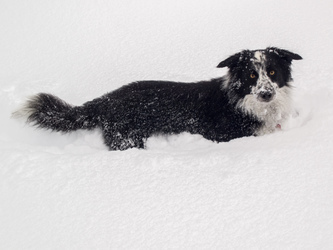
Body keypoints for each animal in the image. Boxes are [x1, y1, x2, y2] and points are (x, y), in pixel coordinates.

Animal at [14, 47, 300, 151]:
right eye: (252, 75)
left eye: (272, 72)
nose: (266, 94)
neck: (243, 103)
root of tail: (107, 99)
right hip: (128, 139)